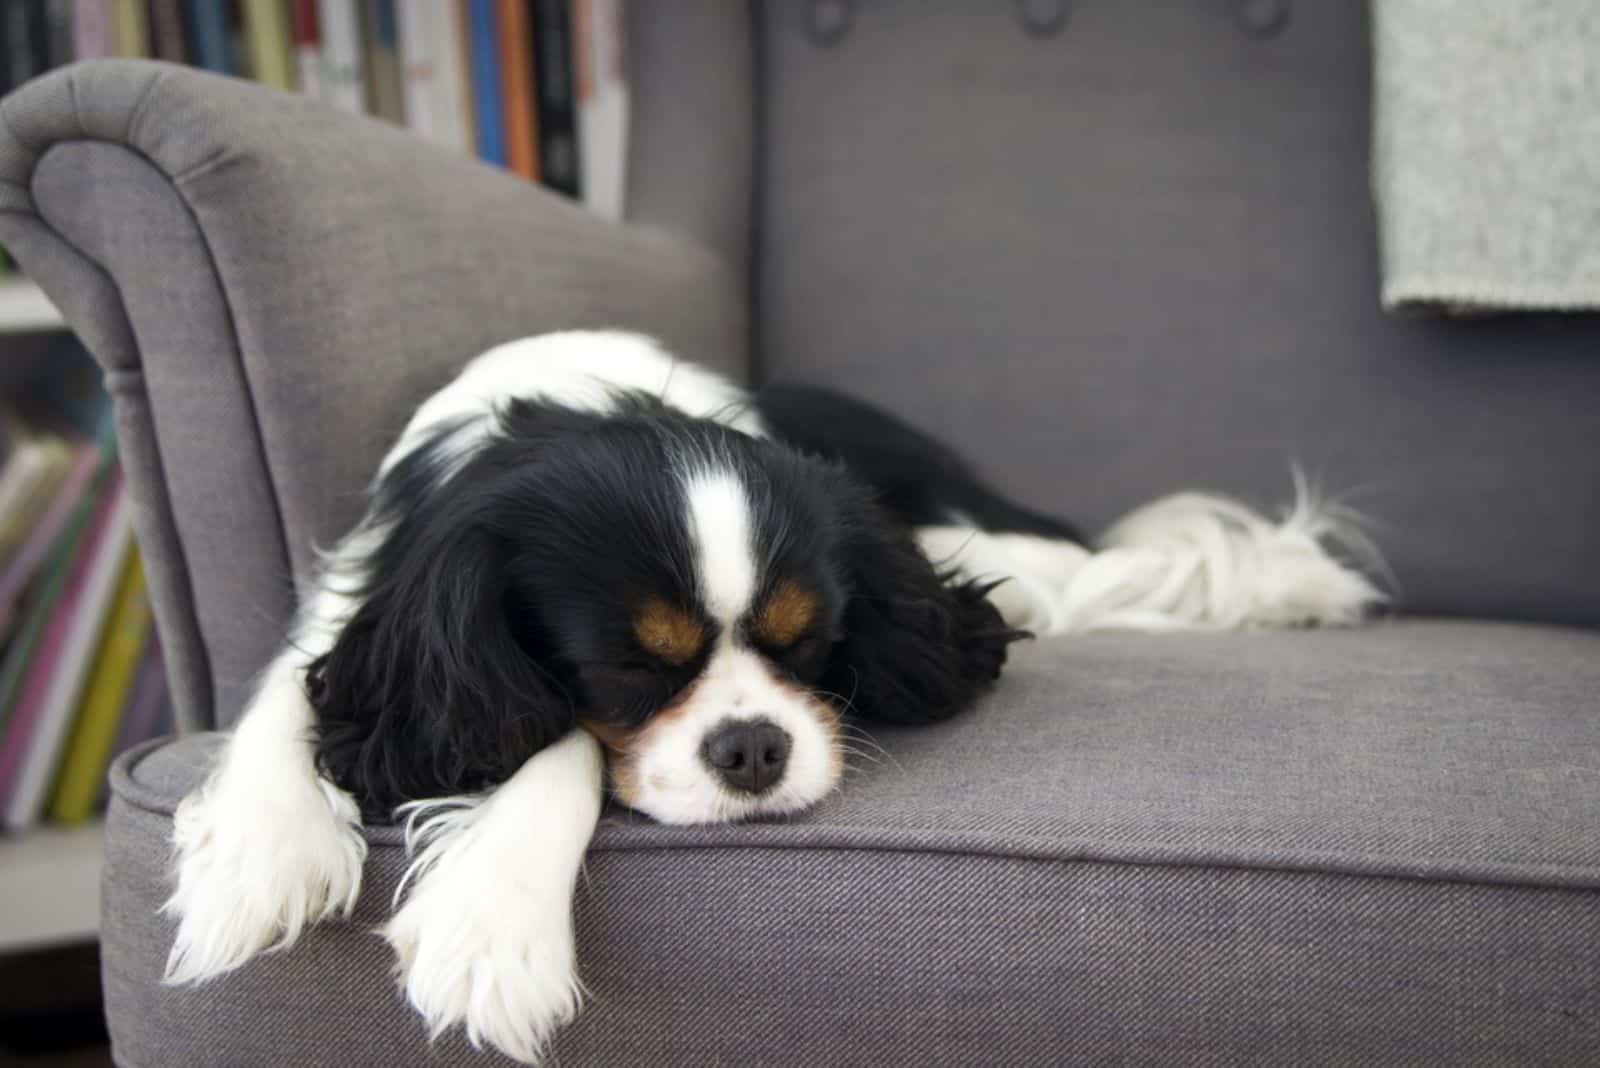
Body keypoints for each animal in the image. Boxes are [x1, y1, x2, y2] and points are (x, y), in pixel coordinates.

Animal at [159, 330, 1376, 1061]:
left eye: (811, 644)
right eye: (630, 668)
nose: (752, 748)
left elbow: (562, 751)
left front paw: (494, 924)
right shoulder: (374, 606)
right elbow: (293, 693)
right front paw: (263, 851)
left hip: (988, 540)